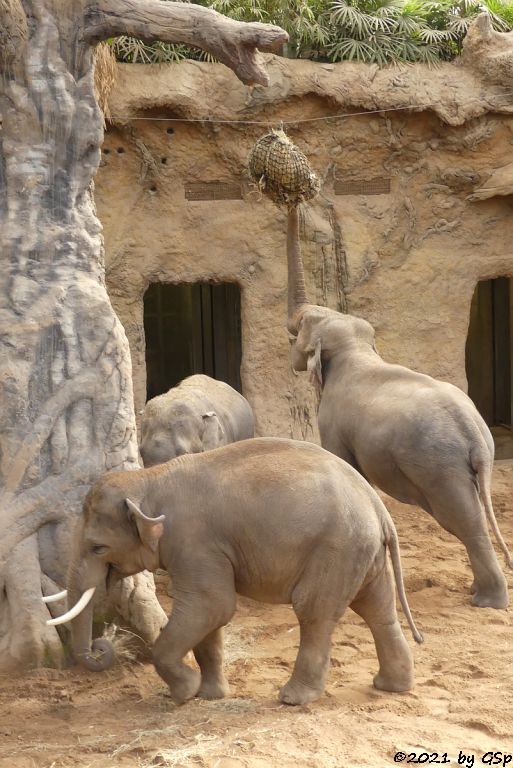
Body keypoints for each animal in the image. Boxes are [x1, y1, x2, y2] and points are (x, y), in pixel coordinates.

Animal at [43, 436, 420, 704]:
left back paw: (293, 699)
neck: (148, 479)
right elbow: (210, 616)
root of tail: (377, 505)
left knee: (314, 611)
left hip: (336, 548)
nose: (101, 647)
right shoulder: (203, 551)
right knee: (377, 608)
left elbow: (211, 605)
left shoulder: (195, 542)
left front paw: (184, 693)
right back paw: (392, 686)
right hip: (362, 551)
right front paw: (209, 695)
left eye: (97, 547)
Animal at [286, 206, 510, 612]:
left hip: (439, 466)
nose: (295, 200)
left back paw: (487, 601)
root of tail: (473, 431)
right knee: (465, 517)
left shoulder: (332, 423)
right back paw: (479, 592)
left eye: (301, 330)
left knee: (462, 518)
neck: (356, 346)